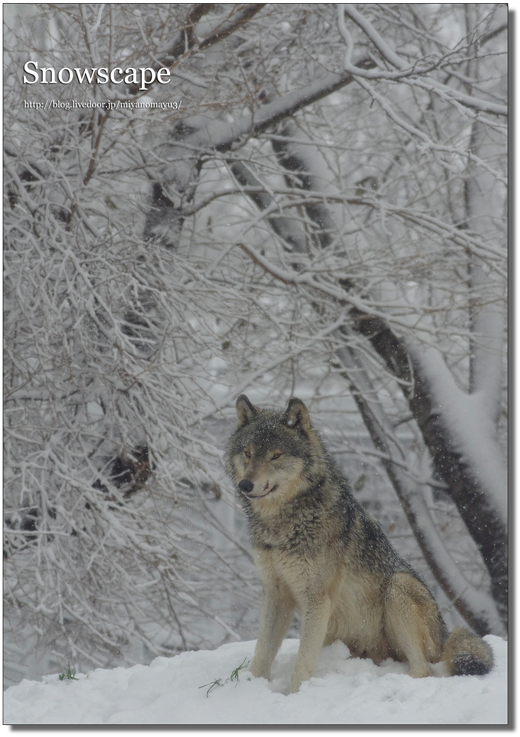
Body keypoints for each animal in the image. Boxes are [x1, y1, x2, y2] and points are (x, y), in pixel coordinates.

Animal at [225, 394, 494, 692]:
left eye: (276, 455)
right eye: (248, 453)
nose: (245, 485)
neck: (283, 523)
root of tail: (446, 635)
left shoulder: (317, 598)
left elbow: (304, 660)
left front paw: (295, 694)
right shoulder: (275, 593)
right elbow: (262, 652)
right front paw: (252, 685)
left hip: (398, 586)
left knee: (424, 670)